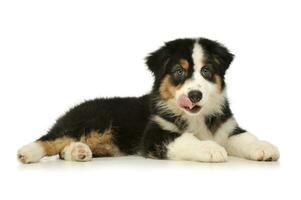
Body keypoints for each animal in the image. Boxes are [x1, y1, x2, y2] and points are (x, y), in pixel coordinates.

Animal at [17, 38, 278, 163]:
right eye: (179, 72)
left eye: (206, 71)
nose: (195, 95)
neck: (197, 118)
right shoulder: (155, 133)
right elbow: (185, 139)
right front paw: (210, 149)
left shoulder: (227, 127)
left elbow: (245, 137)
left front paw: (265, 148)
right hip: (90, 121)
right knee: (52, 138)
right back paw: (26, 153)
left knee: (65, 147)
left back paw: (79, 152)